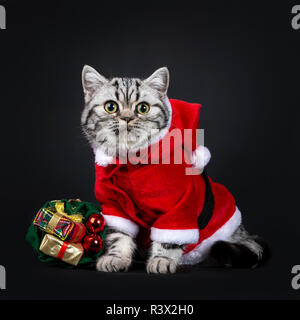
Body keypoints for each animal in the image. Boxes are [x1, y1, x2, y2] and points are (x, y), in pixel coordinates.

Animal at [80, 66, 268, 274]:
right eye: (111, 107)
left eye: (142, 108)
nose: (127, 118)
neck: (130, 162)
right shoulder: (115, 206)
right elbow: (119, 235)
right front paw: (116, 257)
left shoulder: (179, 207)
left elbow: (169, 240)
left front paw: (162, 260)